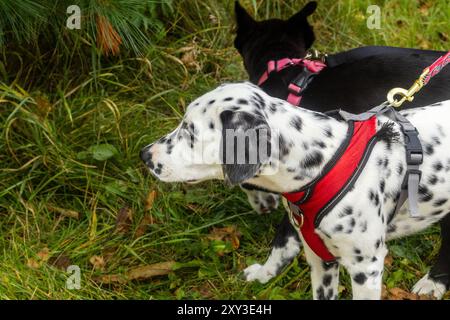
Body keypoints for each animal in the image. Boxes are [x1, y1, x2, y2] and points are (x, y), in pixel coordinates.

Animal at [142, 82, 450, 300]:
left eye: (190, 131)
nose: (144, 155)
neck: (325, 163)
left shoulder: (366, 268)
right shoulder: (320, 259)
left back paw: (433, 282)